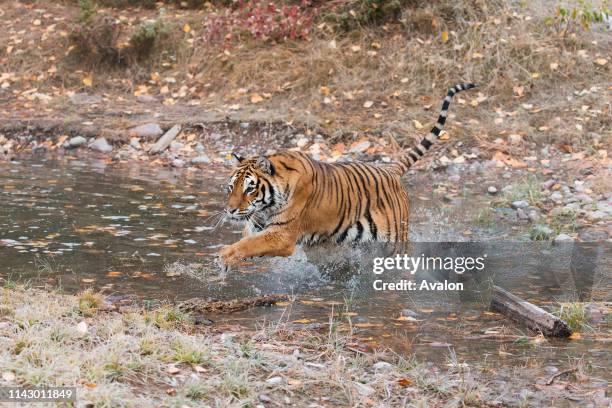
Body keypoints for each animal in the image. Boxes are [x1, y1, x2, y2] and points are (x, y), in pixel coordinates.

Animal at [218, 82, 476, 270]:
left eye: (250, 188)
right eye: (231, 187)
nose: (229, 210)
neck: (267, 205)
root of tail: (390, 169)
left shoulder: (281, 234)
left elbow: (250, 244)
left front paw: (223, 256)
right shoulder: (257, 225)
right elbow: (248, 240)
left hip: (395, 241)